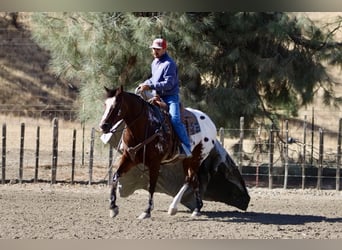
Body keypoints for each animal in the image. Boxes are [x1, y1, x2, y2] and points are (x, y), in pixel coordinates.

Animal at [99, 85, 216, 219]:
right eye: (105, 104)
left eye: (116, 105)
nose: (103, 126)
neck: (146, 125)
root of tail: (210, 123)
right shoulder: (129, 158)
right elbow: (115, 177)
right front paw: (113, 207)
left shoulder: (155, 163)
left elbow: (152, 186)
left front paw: (147, 211)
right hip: (187, 160)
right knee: (192, 179)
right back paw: (196, 208)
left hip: (197, 158)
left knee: (190, 179)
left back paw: (175, 207)